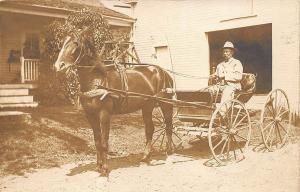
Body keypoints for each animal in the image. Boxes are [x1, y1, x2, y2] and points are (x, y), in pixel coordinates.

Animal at [54, 29, 173, 176]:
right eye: (63, 42)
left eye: (75, 43)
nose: (58, 66)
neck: (96, 80)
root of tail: (163, 72)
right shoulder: (90, 115)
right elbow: (97, 141)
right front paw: (98, 166)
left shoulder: (104, 114)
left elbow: (104, 142)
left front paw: (105, 168)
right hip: (147, 106)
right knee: (150, 129)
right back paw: (145, 157)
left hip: (166, 104)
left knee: (168, 126)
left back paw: (169, 153)